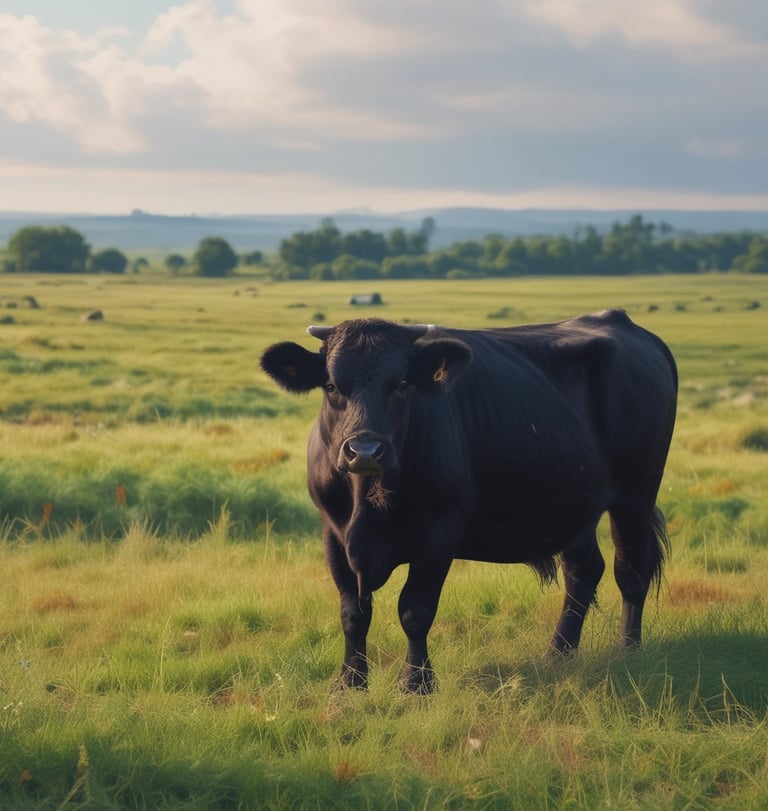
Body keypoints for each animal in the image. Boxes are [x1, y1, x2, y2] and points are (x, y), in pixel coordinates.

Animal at [260, 311, 677, 694]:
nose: (365, 450)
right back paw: (558, 653)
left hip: (636, 496)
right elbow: (353, 613)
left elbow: (415, 610)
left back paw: (628, 651)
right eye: (332, 385)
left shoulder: (439, 531)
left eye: (402, 384)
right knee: (583, 572)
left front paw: (417, 684)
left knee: (631, 571)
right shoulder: (333, 533)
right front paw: (350, 683)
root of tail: (622, 323)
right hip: (577, 505)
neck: (369, 498)